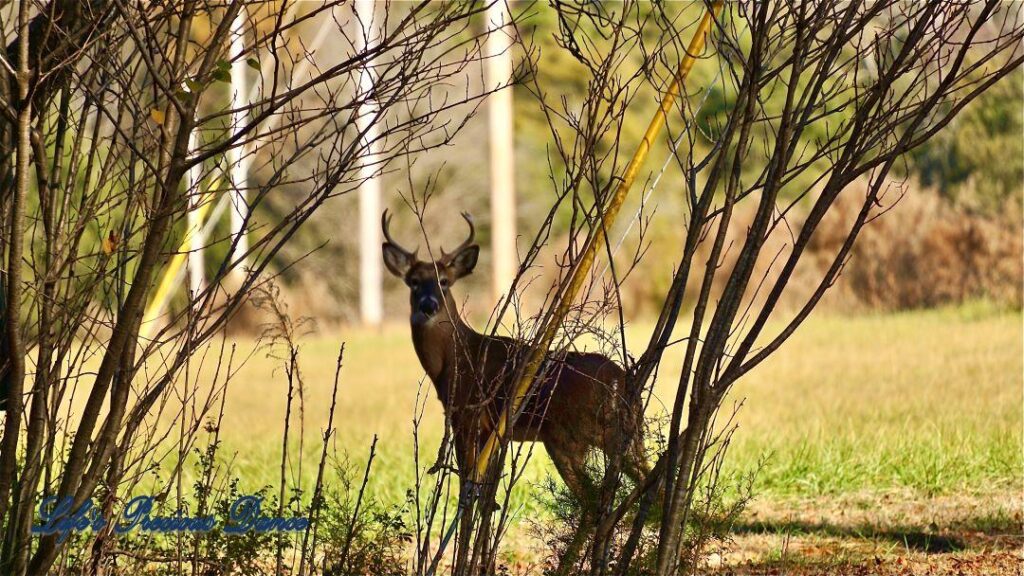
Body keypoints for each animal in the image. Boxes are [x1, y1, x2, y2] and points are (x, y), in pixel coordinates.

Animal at [380, 208, 651, 500]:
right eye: (414, 282)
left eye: (444, 282)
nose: (428, 305)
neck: (456, 359)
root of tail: (623, 381)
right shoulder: (489, 430)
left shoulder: (467, 414)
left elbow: (468, 481)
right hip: (629, 436)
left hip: (569, 436)